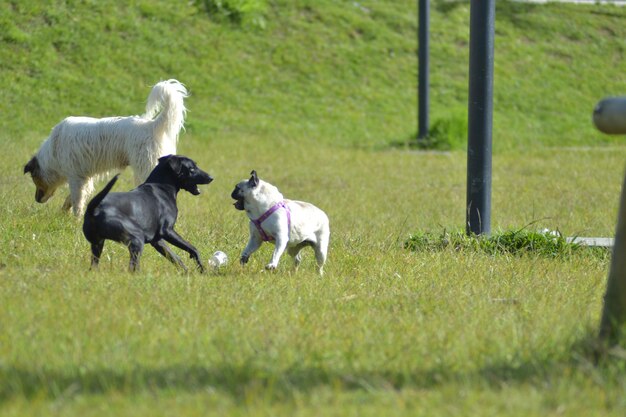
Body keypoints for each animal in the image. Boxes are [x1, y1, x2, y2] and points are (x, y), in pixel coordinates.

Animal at [23, 79, 188, 214]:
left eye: (34, 178)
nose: (37, 200)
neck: (54, 151)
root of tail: (151, 125)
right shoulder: (85, 178)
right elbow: (72, 199)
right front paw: (64, 213)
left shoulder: (76, 177)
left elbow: (77, 201)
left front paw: (75, 220)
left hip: (146, 169)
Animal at [82, 154, 212, 272]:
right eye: (192, 169)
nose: (211, 177)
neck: (161, 187)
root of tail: (93, 209)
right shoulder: (167, 231)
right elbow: (193, 249)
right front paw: (202, 269)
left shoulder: (157, 240)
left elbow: (175, 257)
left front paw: (187, 272)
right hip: (137, 238)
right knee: (133, 268)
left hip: (98, 244)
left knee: (94, 266)